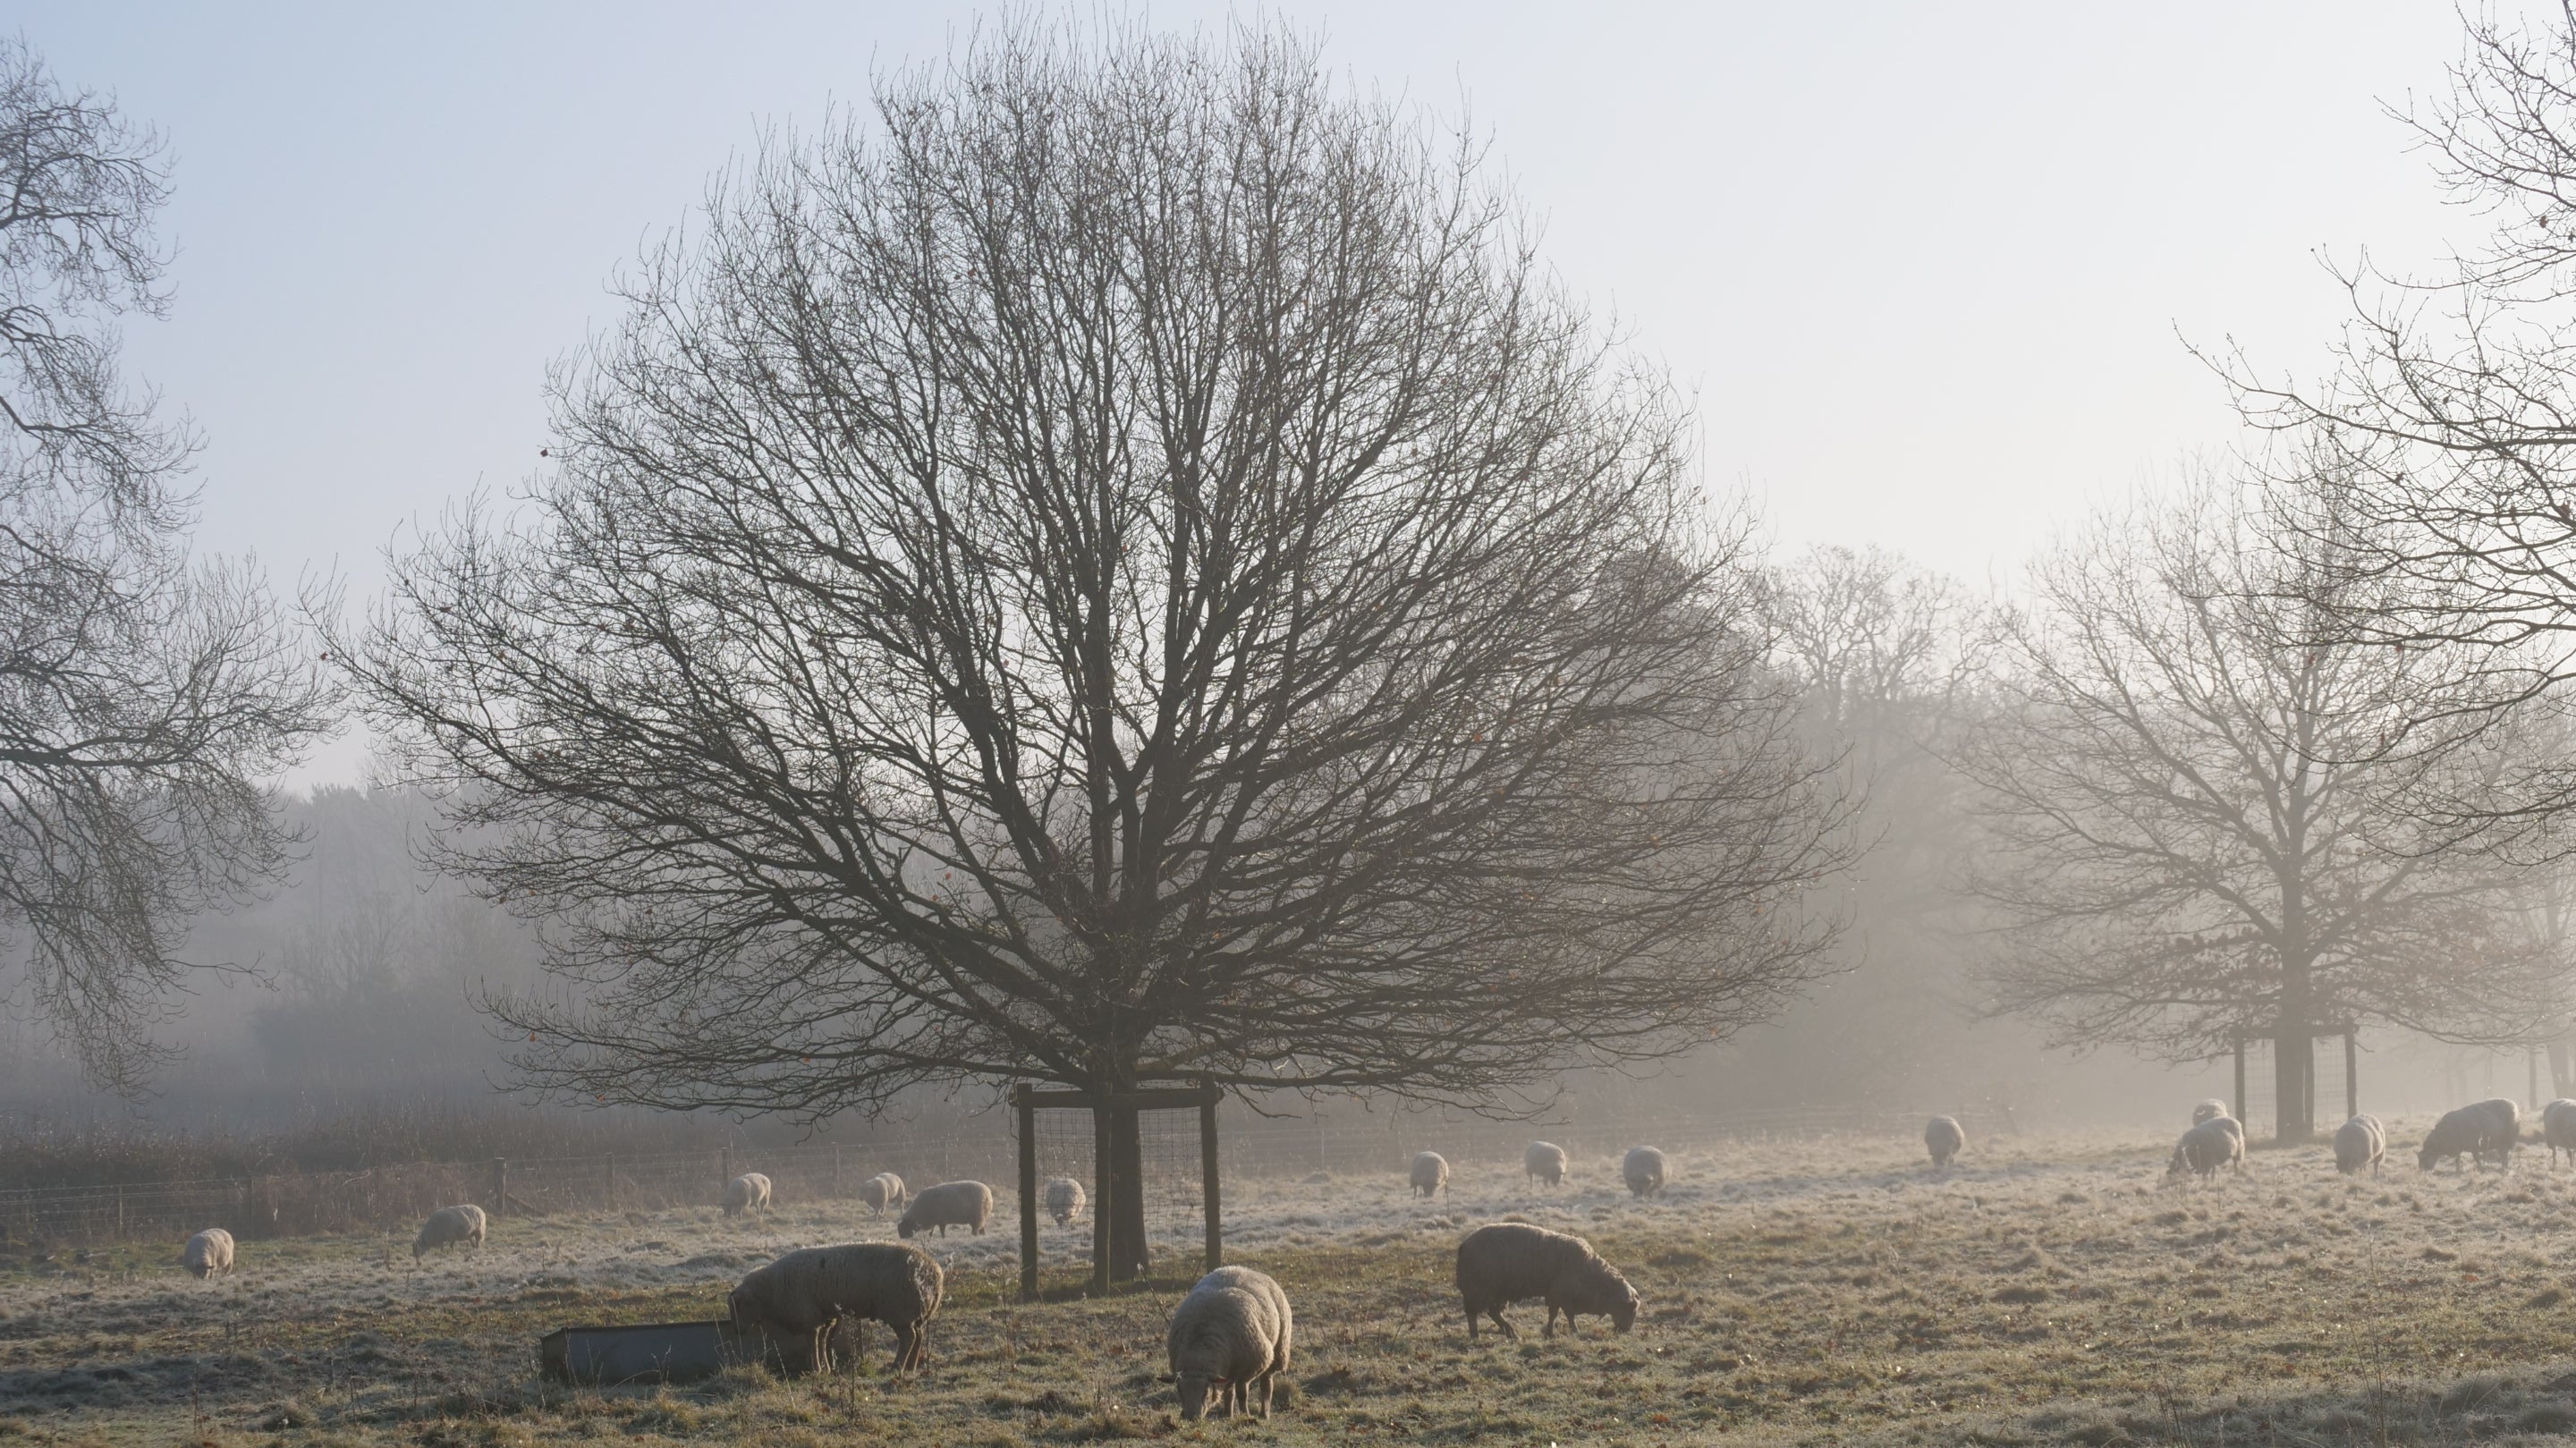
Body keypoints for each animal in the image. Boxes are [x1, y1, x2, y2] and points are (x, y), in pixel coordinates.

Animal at [727, 1241, 943, 1376]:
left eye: (738, 1307)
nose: (736, 1330)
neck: (770, 1290)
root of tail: (934, 1274)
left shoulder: (810, 1318)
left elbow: (813, 1343)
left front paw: (816, 1370)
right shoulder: (824, 1317)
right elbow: (823, 1342)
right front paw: (826, 1368)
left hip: (900, 1312)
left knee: (909, 1338)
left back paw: (896, 1367)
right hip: (915, 1313)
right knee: (919, 1335)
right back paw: (911, 1367)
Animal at [1166, 1265, 1293, 1420]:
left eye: (1206, 1392)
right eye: (1180, 1391)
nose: (1191, 1417)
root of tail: (1244, 1268)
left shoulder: (1248, 1368)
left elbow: (1242, 1393)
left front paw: (1245, 1414)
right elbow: (1229, 1391)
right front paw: (1228, 1414)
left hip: (1278, 1350)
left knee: (1266, 1384)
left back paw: (1264, 1413)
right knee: (1231, 1388)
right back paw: (1229, 1412)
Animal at [1455, 1222, 1640, 1339]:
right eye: (1630, 1310)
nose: (1625, 1331)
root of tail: (1464, 1245)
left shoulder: (1556, 1296)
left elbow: (1555, 1315)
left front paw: (1551, 1333)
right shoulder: (1561, 1295)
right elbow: (1565, 1315)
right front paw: (1573, 1331)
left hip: (1497, 1292)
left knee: (1493, 1313)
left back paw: (1511, 1333)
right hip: (1478, 1289)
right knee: (1472, 1313)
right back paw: (1476, 1336)